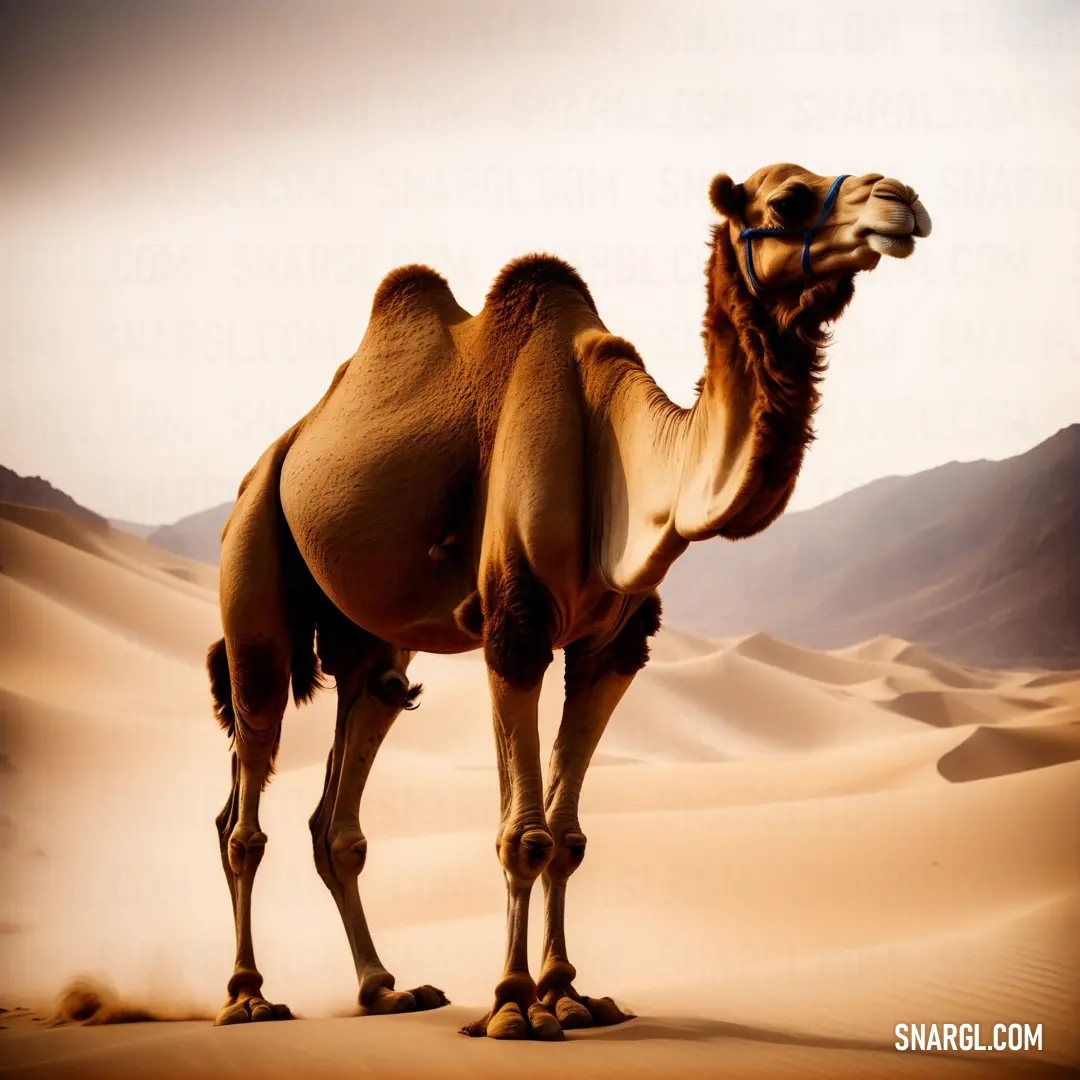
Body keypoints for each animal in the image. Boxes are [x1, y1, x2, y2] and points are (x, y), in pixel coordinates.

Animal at [208, 162, 928, 1036]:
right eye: (786, 199)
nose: (901, 201)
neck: (616, 450)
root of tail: (276, 453)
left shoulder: (614, 644)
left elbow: (569, 834)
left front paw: (570, 994)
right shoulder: (513, 626)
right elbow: (523, 834)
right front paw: (514, 1005)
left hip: (371, 644)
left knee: (341, 793)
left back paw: (385, 988)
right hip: (254, 567)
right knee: (245, 795)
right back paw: (249, 995)